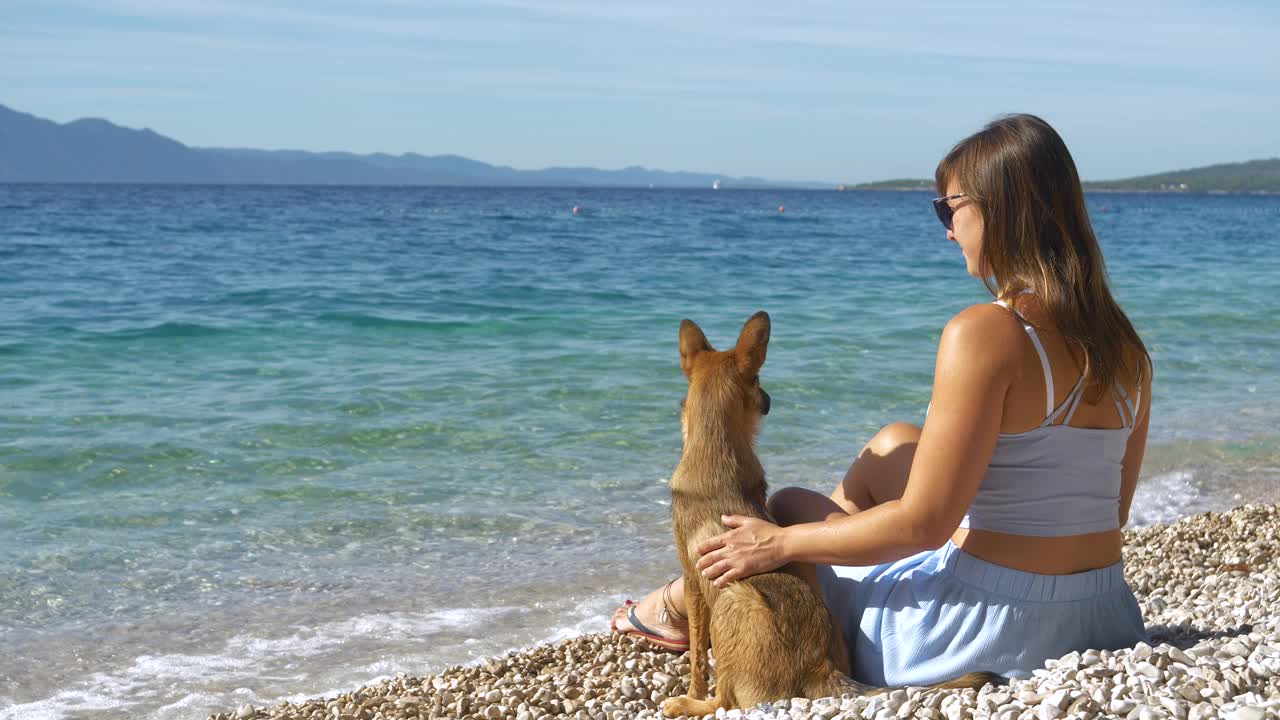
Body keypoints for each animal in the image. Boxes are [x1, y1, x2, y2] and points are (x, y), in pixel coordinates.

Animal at [665, 311, 993, 712]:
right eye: (758, 382)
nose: (770, 400)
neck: (717, 451)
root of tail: (820, 666)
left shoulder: (694, 585)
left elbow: (697, 658)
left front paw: (691, 692)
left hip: (733, 601)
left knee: (726, 701)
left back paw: (686, 705)